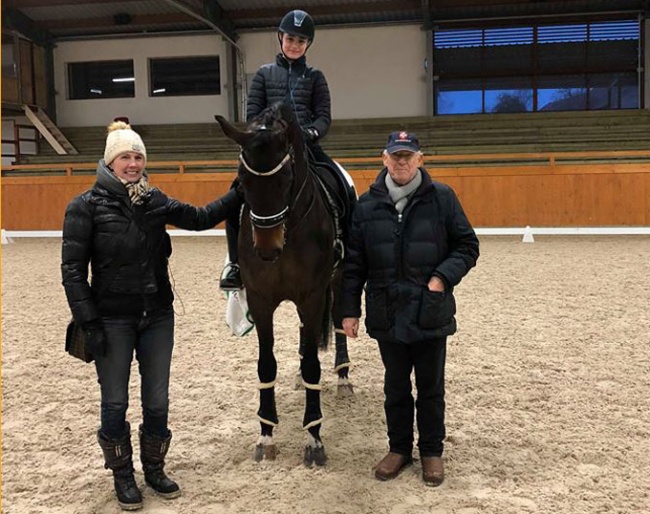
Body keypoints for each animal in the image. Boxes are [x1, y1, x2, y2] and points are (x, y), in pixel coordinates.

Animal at [215, 103, 352, 464]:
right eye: (243, 180)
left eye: (288, 177)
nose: (266, 248)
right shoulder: (261, 300)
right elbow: (266, 365)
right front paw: (266, 434)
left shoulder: (312, 296)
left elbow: (314, 363)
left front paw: (314, 438)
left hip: (338, 281)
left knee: (337, 323)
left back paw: (343, 377)